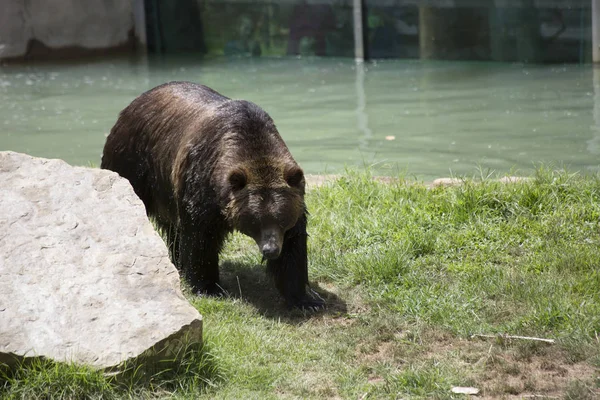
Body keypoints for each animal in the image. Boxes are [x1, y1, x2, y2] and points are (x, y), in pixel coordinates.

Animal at [101, 81, 324, 310]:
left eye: (281, 218)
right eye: (255, 220)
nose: (270, 250)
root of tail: (133, 103)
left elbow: (293, 247)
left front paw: (305, 299)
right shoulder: (201, 184)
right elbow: (201, 238)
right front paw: (208, 287)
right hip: (133, 163)